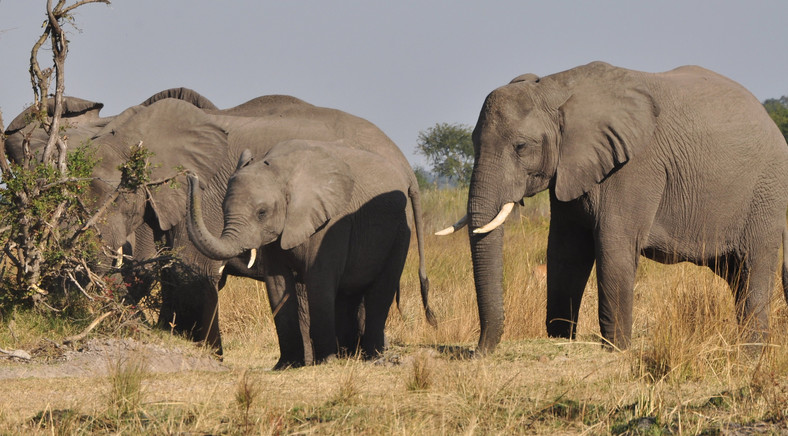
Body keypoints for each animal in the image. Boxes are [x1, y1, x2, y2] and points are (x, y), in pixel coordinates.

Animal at [189, 141, 440, 364]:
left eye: (261, 212)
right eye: (223, 208)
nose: (191, 176)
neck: (281, 170)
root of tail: (408, 180)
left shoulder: (332, 223)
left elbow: (319, 280)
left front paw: (325, 361)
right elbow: (277, 283)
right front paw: (287, 365)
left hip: (401, 228)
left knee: (380, 291)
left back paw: (372, 358)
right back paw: (350, 356)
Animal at [444, 61, 788, 352]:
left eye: (521, 146)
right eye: (472, 142)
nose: (479, 351)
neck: (556, 88)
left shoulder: (634, 166)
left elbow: (613, 245)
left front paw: (616, 350)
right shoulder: (571, 168)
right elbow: (565, 251)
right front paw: (561, 339)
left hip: (766, 193)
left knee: (753, 267)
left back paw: (751, 353)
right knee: (736, 275)